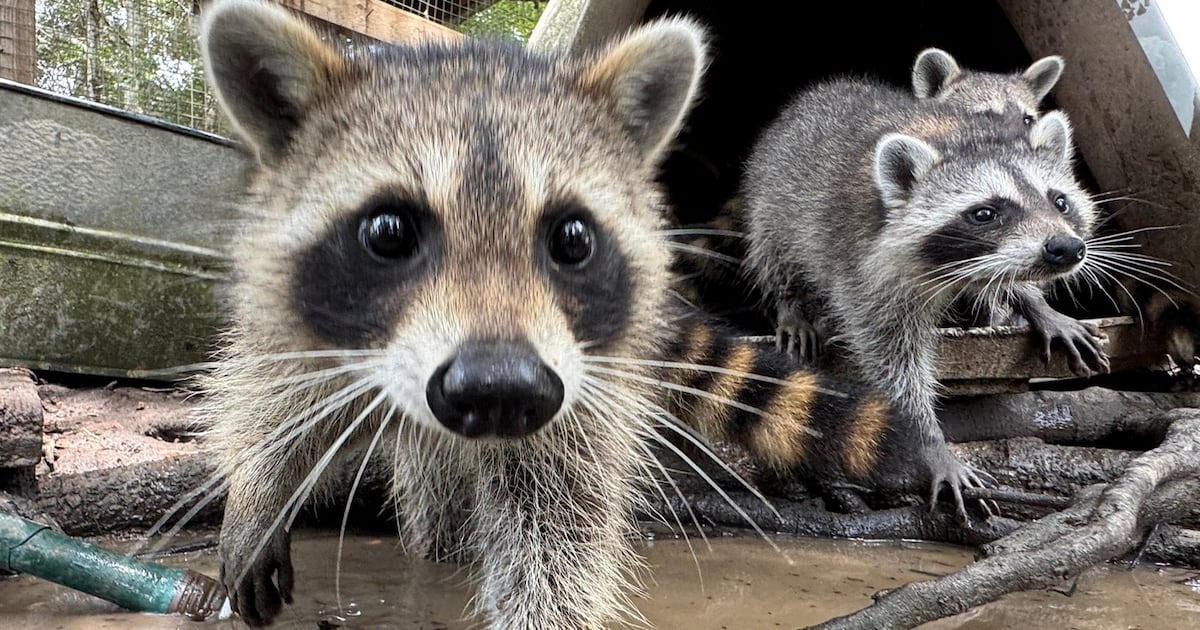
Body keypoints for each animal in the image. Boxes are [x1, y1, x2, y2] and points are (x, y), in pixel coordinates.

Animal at [194, 1, 932, 627]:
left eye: (573, 239)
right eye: (388, 232)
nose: (497, 391)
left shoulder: (578, 385)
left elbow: (557, 525)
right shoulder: (290, 310)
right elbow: (269, 396)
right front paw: (257, 496)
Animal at [742, 77, 1109, 513]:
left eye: (1060, 201)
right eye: (985, 213)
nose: (1066, 248)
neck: (963, 140)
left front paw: (1035, 303)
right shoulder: (864, 268)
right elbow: (894, 360)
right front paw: (928, 440)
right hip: (774, 196)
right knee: (775, 250)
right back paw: (791, 305)